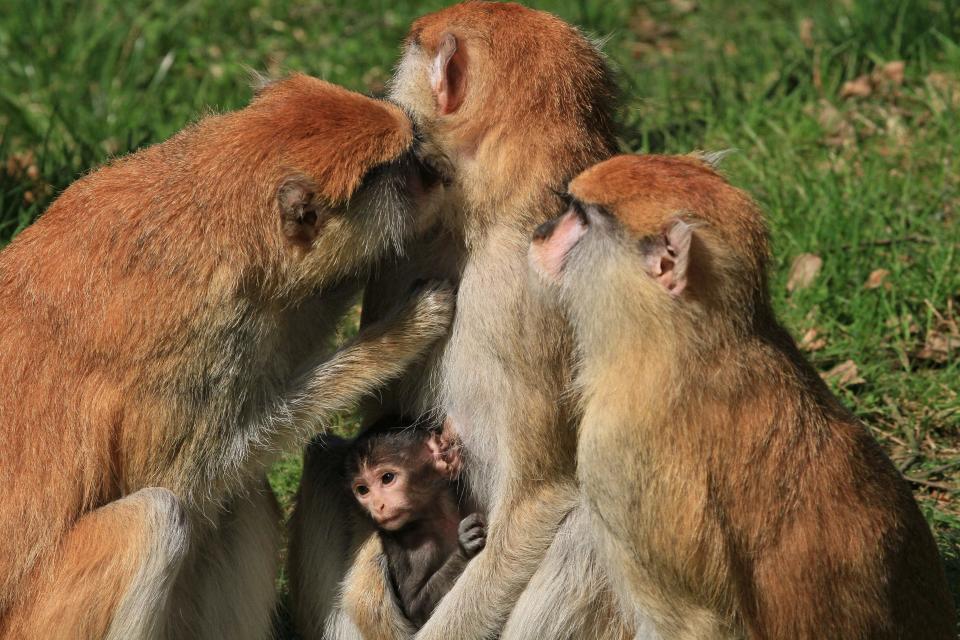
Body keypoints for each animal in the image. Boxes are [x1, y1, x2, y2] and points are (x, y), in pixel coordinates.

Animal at [0, 75, 454, 640]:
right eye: (403, 168)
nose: (440, 173)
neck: (205, 200)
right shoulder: (197, 343)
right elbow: (189, 476)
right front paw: (402, 332)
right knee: (156, 518)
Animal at [344, 416, 484, 632]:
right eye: (363, 490)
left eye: (387, 478)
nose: (377, 506)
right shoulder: (417, 551)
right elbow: (417, 611)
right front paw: (464, 547)